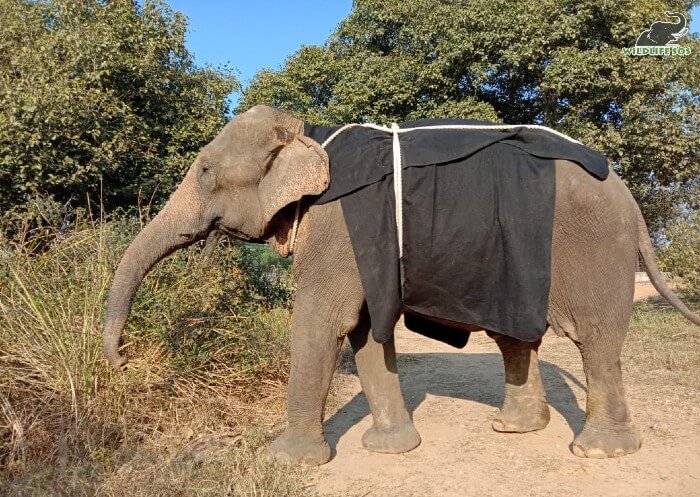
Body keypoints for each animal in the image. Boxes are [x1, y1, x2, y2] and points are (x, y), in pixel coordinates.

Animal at [102, 104, 700, 464]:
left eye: (204, 171)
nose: (124, 361)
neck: (308, 136)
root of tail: (630, 201)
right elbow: (364, 331)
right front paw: (392, 449)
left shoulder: (337, 228)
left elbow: (323, 322)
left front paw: (284, 460)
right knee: (515, 337)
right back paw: (514, 429)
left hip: (594, 246)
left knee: (595, 340)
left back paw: (599, 452)